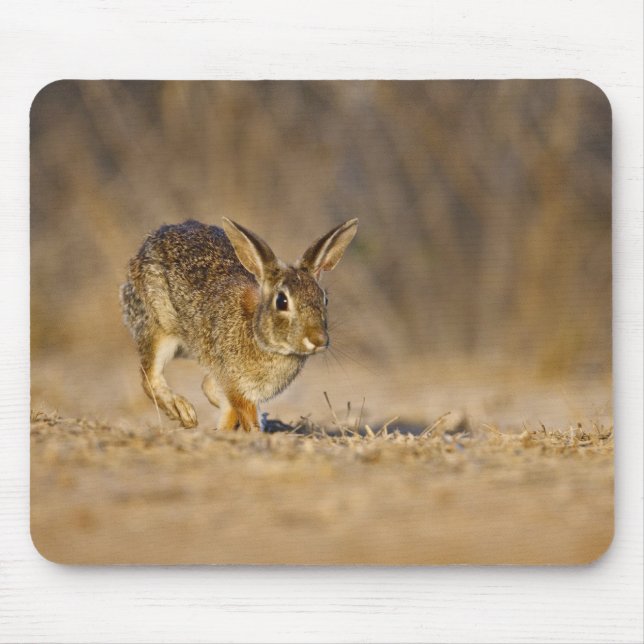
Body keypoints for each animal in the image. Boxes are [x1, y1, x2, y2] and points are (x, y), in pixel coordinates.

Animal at [119, 217, 358, 431]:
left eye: (325, 299)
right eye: (282, 301)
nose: (319, 340)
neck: (259, 335)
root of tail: (150, 241)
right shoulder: (235, 385)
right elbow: (244, 414)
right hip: (159, 328)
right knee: (149, 377)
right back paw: (183, 411)